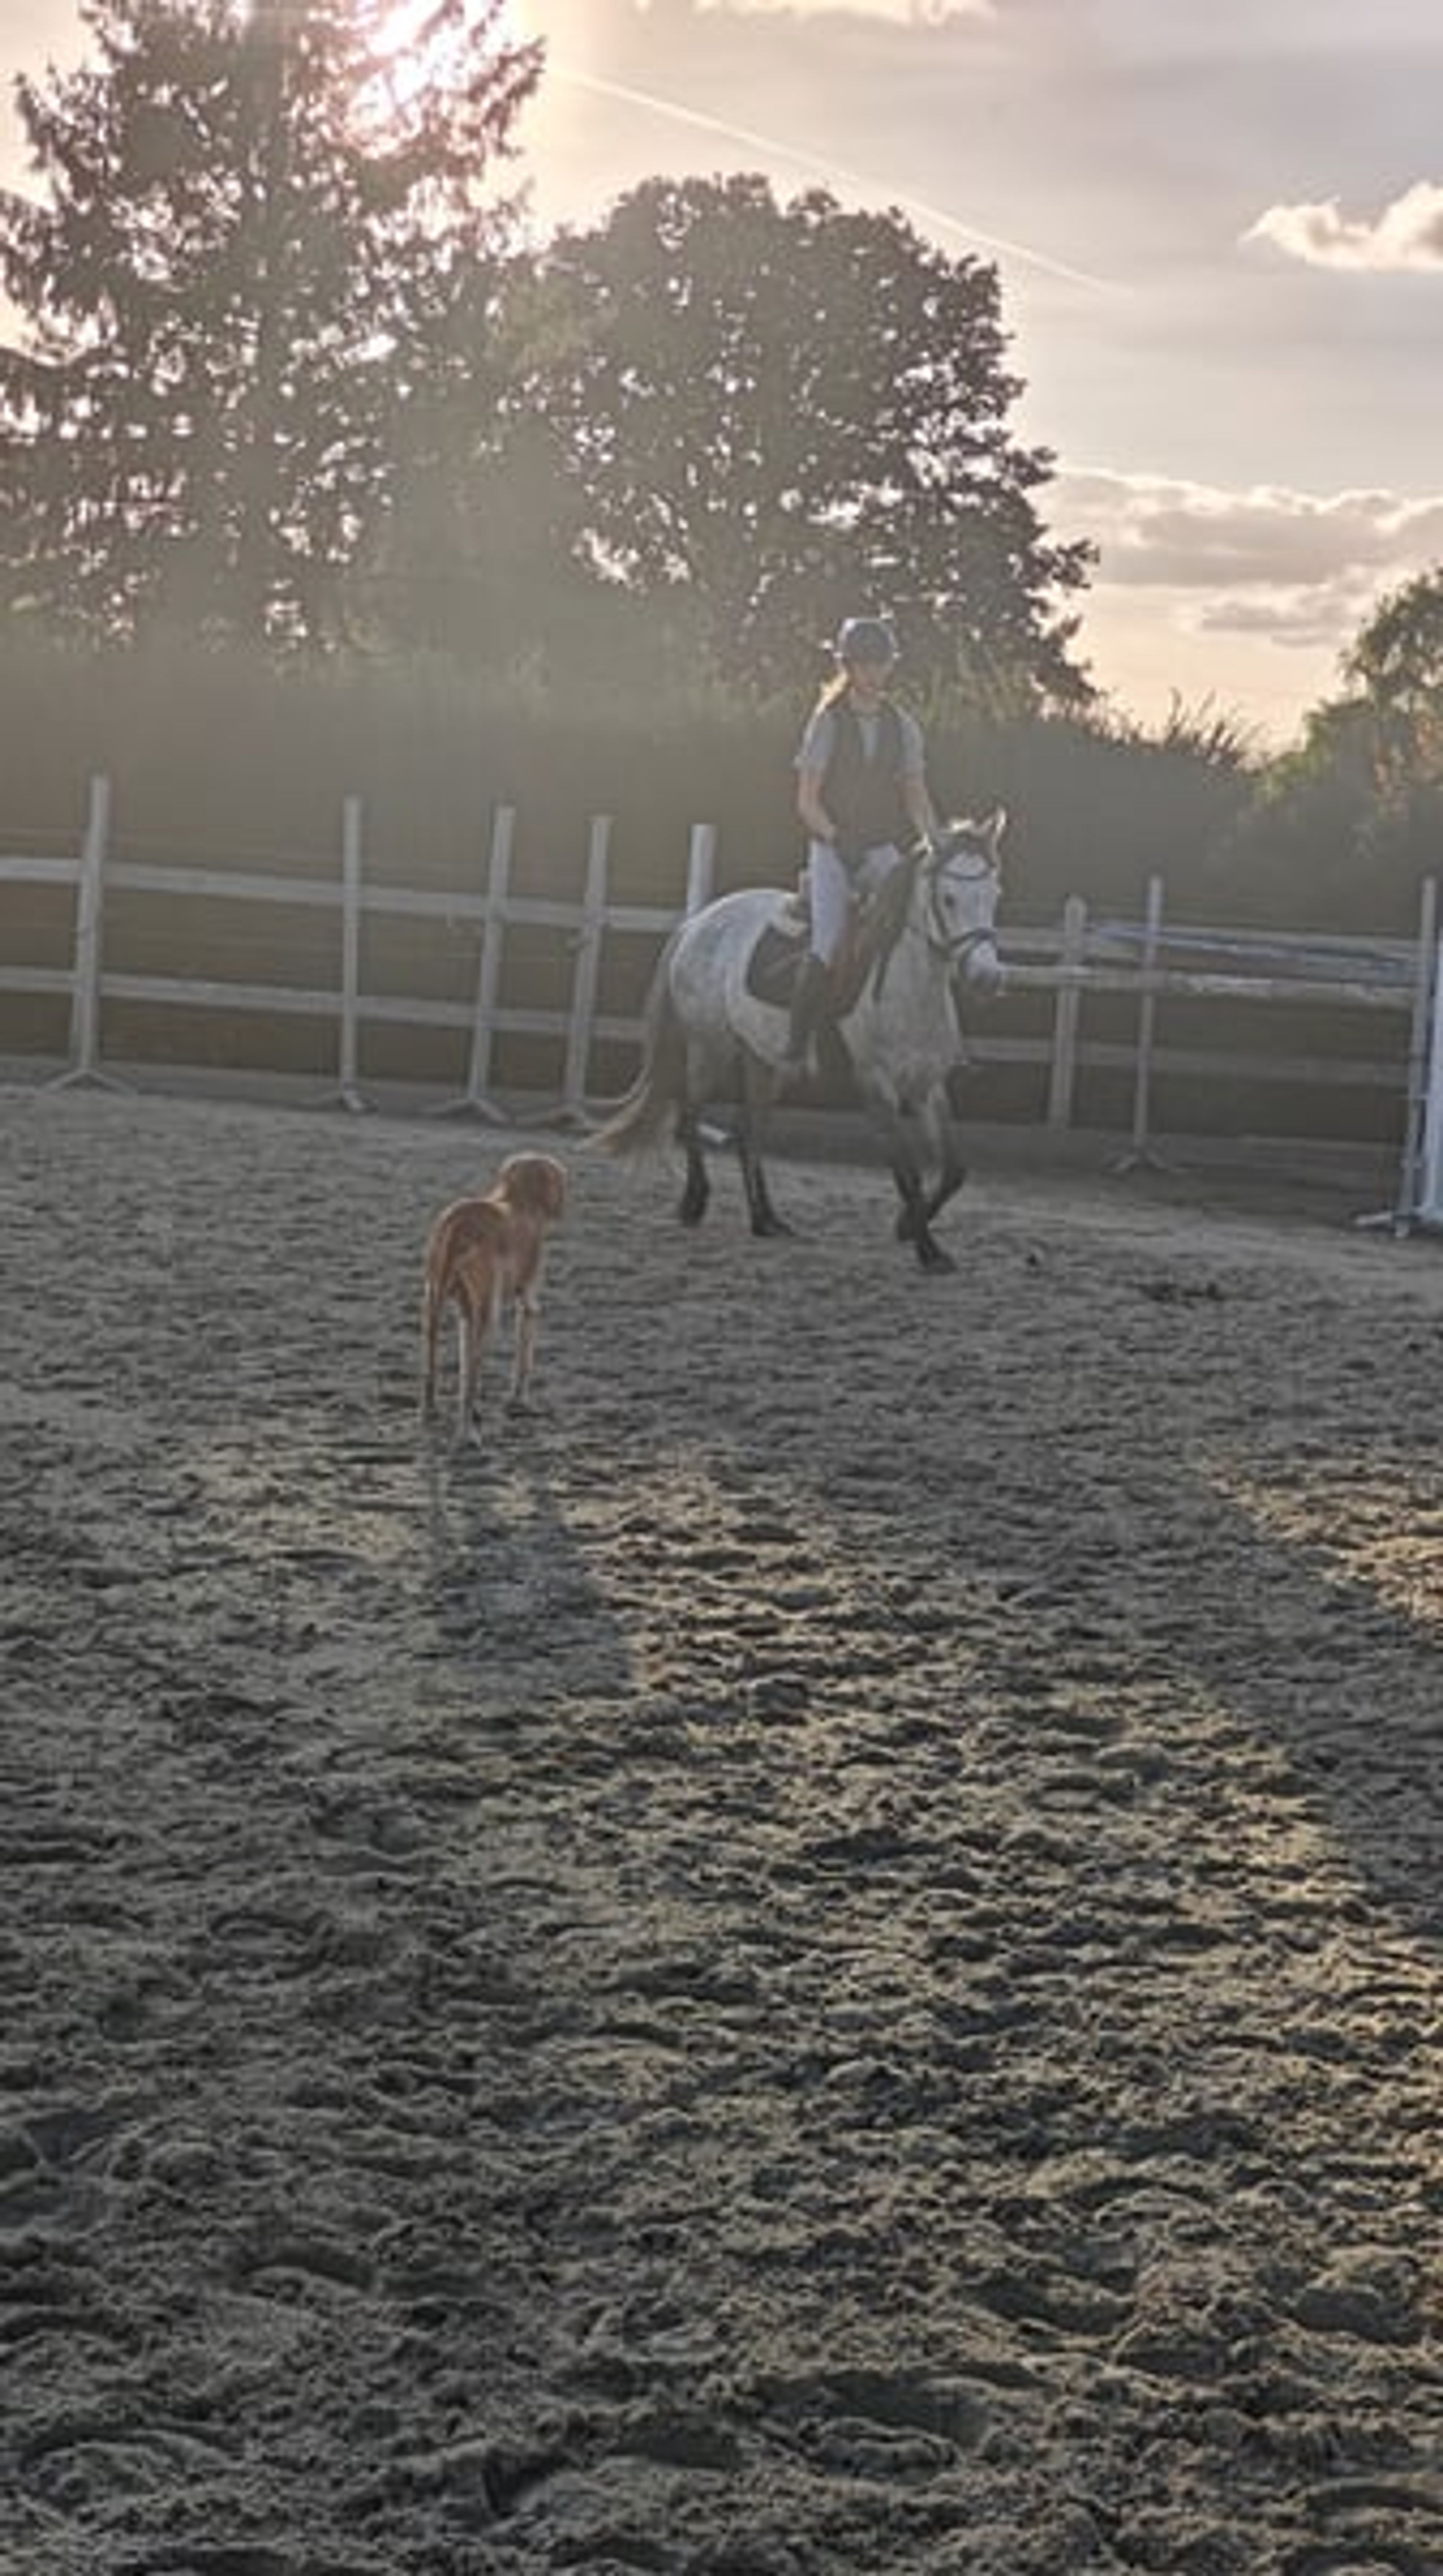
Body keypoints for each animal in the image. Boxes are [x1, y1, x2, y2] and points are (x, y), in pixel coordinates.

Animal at [589, 813, 1006, 1271]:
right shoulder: (875, 1085)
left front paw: (906, 1227)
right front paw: (928, 1249)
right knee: (692, 1113)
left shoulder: (928, 1084)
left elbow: (954, 1169)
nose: (988, 978)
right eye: (948, 899)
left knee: (749, 1132)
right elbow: (907, 1171)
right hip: (710, 1047)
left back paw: (767, 1220)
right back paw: (694, 1203)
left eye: (994, 894)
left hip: (763, 1061)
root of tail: (699, 922)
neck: (909, 986)